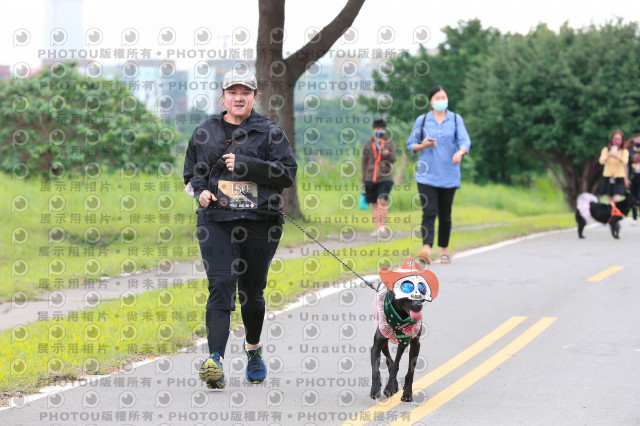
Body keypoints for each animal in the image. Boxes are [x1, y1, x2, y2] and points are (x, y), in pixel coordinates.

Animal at [368, 260, 438, 402]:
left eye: (422, 289)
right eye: (406, 289)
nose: (418, 305)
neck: (400, 317)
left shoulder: (413, 343)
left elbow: (406, 369)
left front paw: (406, 392)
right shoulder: (376, 345)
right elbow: (376, 369)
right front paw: (376, 388)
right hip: (383, 337)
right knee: (388, 357)